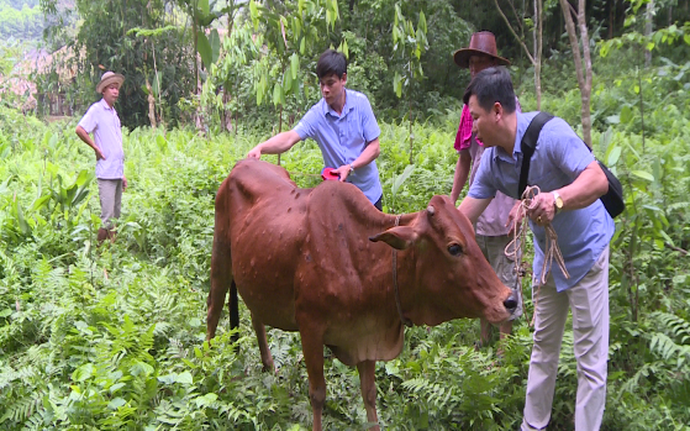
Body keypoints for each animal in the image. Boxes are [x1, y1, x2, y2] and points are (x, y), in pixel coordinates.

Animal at [207, 159, 512, 431]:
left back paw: (269, 365)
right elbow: (317, 394)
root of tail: (241, 165)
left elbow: (369, 394)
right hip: (221, 254)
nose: (508, 300)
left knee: (255, 315)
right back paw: (207, 365)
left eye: (473, 234)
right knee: (213, 310)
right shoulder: (310, 327)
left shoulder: (366, 334)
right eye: (454, 247)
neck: (360, 257)